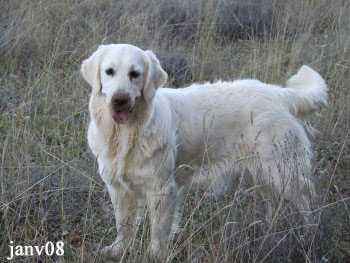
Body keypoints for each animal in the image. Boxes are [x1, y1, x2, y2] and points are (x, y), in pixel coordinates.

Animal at [80, 44, 326, 260]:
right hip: (264, 172)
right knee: (274, 202)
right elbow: (123, 226)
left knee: (306, 201)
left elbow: (158, 230)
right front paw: (117, 251)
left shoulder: (162, 189)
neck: (127, 135)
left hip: (282, 172)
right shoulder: (118, 188)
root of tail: (280, 93)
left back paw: (307, 236)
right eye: (109, 72)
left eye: (135, 74)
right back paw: (270, 231)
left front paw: (154, 255)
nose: (119, 99)